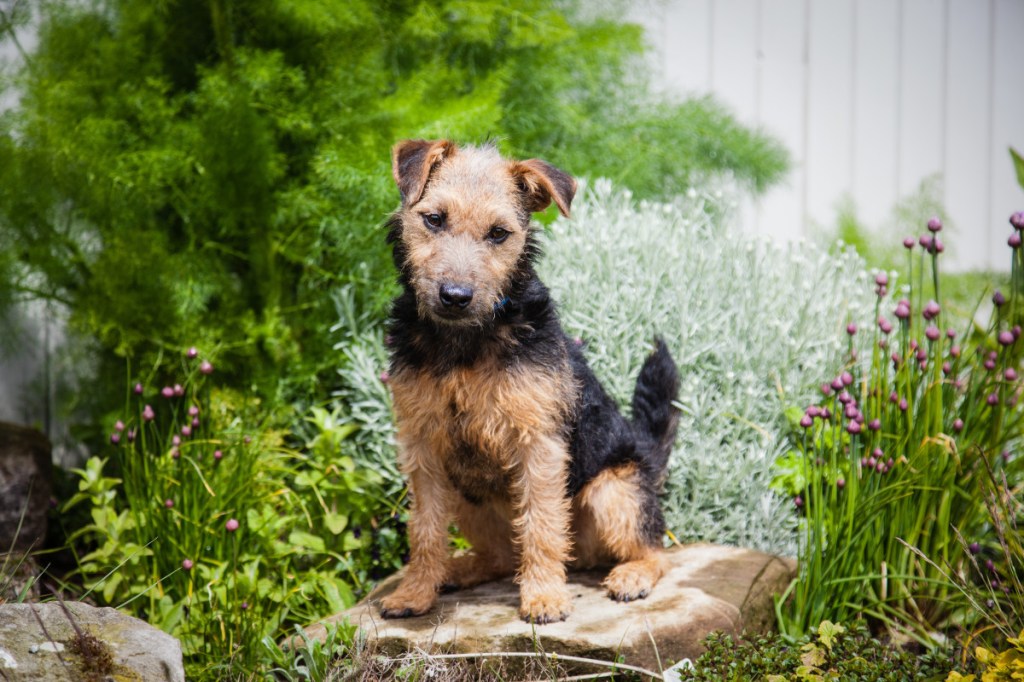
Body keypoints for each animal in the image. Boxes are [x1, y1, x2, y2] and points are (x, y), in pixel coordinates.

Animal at [378, 138, 679, 622]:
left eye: (499, 233)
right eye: (434, 219)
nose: (455, 297)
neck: (464, 342)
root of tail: (647, 453)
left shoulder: (537, 443)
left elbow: (541, 525)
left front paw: (543, 598)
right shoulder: (422, 447)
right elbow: (424, 530)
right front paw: (414, 593)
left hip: (613, 492)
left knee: (655, 550)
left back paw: (630, 576)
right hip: (465, 493)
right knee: (500, 556)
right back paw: (455, 571)